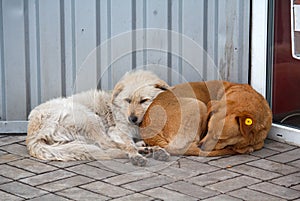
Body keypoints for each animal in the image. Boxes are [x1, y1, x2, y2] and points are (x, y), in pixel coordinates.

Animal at [26, 70, 169, 166]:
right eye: (128, 100)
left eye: (144, 100)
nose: (132, 119)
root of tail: (32, 136)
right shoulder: (115, 130)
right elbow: (128, 145)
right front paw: (135, 154)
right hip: (90, 118)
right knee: (108, 145)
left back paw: (149, 149)